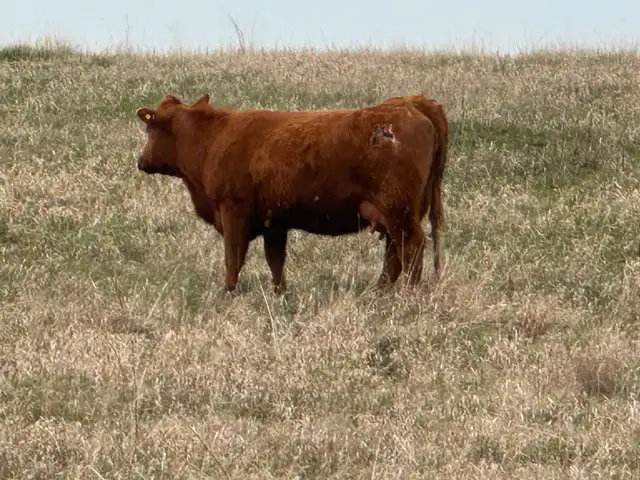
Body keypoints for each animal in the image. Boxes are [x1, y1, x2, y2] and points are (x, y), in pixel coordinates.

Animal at [134, 92, 448, 294]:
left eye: (150, 128)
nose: (141, 161)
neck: (213, 140)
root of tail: (410, 102)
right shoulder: (275, 222)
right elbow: (275, 261)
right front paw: (280, 293)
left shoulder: (233, 211)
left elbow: (233, 258)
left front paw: (228, 292)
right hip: (394, 214)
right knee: (395, 255)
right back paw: (379, 292)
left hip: (399, 211)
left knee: (411, 248)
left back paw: (408, 294)